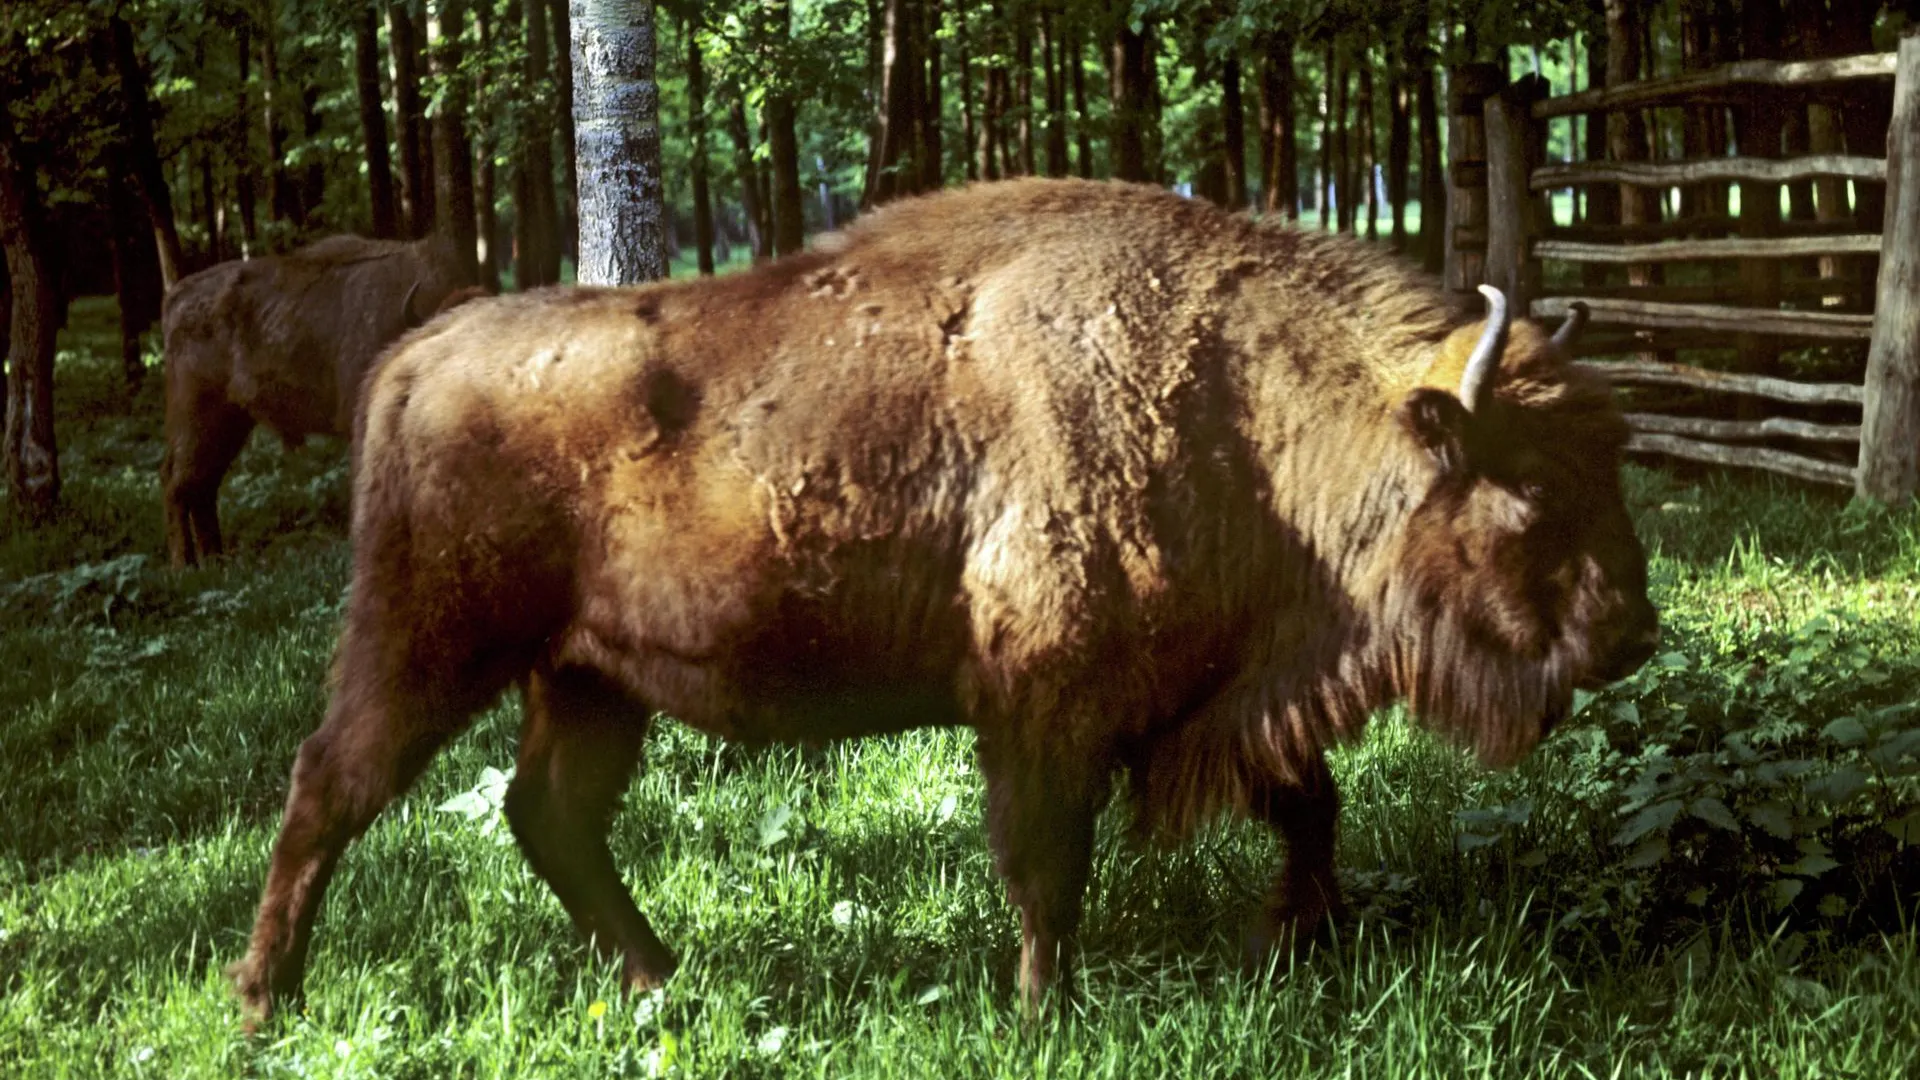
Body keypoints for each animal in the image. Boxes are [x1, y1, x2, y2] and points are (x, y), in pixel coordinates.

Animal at [165, 232, 480, 568]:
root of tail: (175, 298)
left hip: (230, 423)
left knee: (202, 486)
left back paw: (215, 559)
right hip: (197, 419)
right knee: (177, 484)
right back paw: (185, 565)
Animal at [228, 176, 1666, 1014]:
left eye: (1612, 458)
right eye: (1531, 488)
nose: (1634, 635)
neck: (1250, 408)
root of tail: (412, 358)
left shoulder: (1204, 689)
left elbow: (1309, 802)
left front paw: (1303, 941)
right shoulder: (1041, 708)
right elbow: (1046, 867)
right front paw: (1046, 1013)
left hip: (586, 680)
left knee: (549, 816)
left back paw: (663, 982)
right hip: (429, 645)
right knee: (329, 788)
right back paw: (263, 1000)